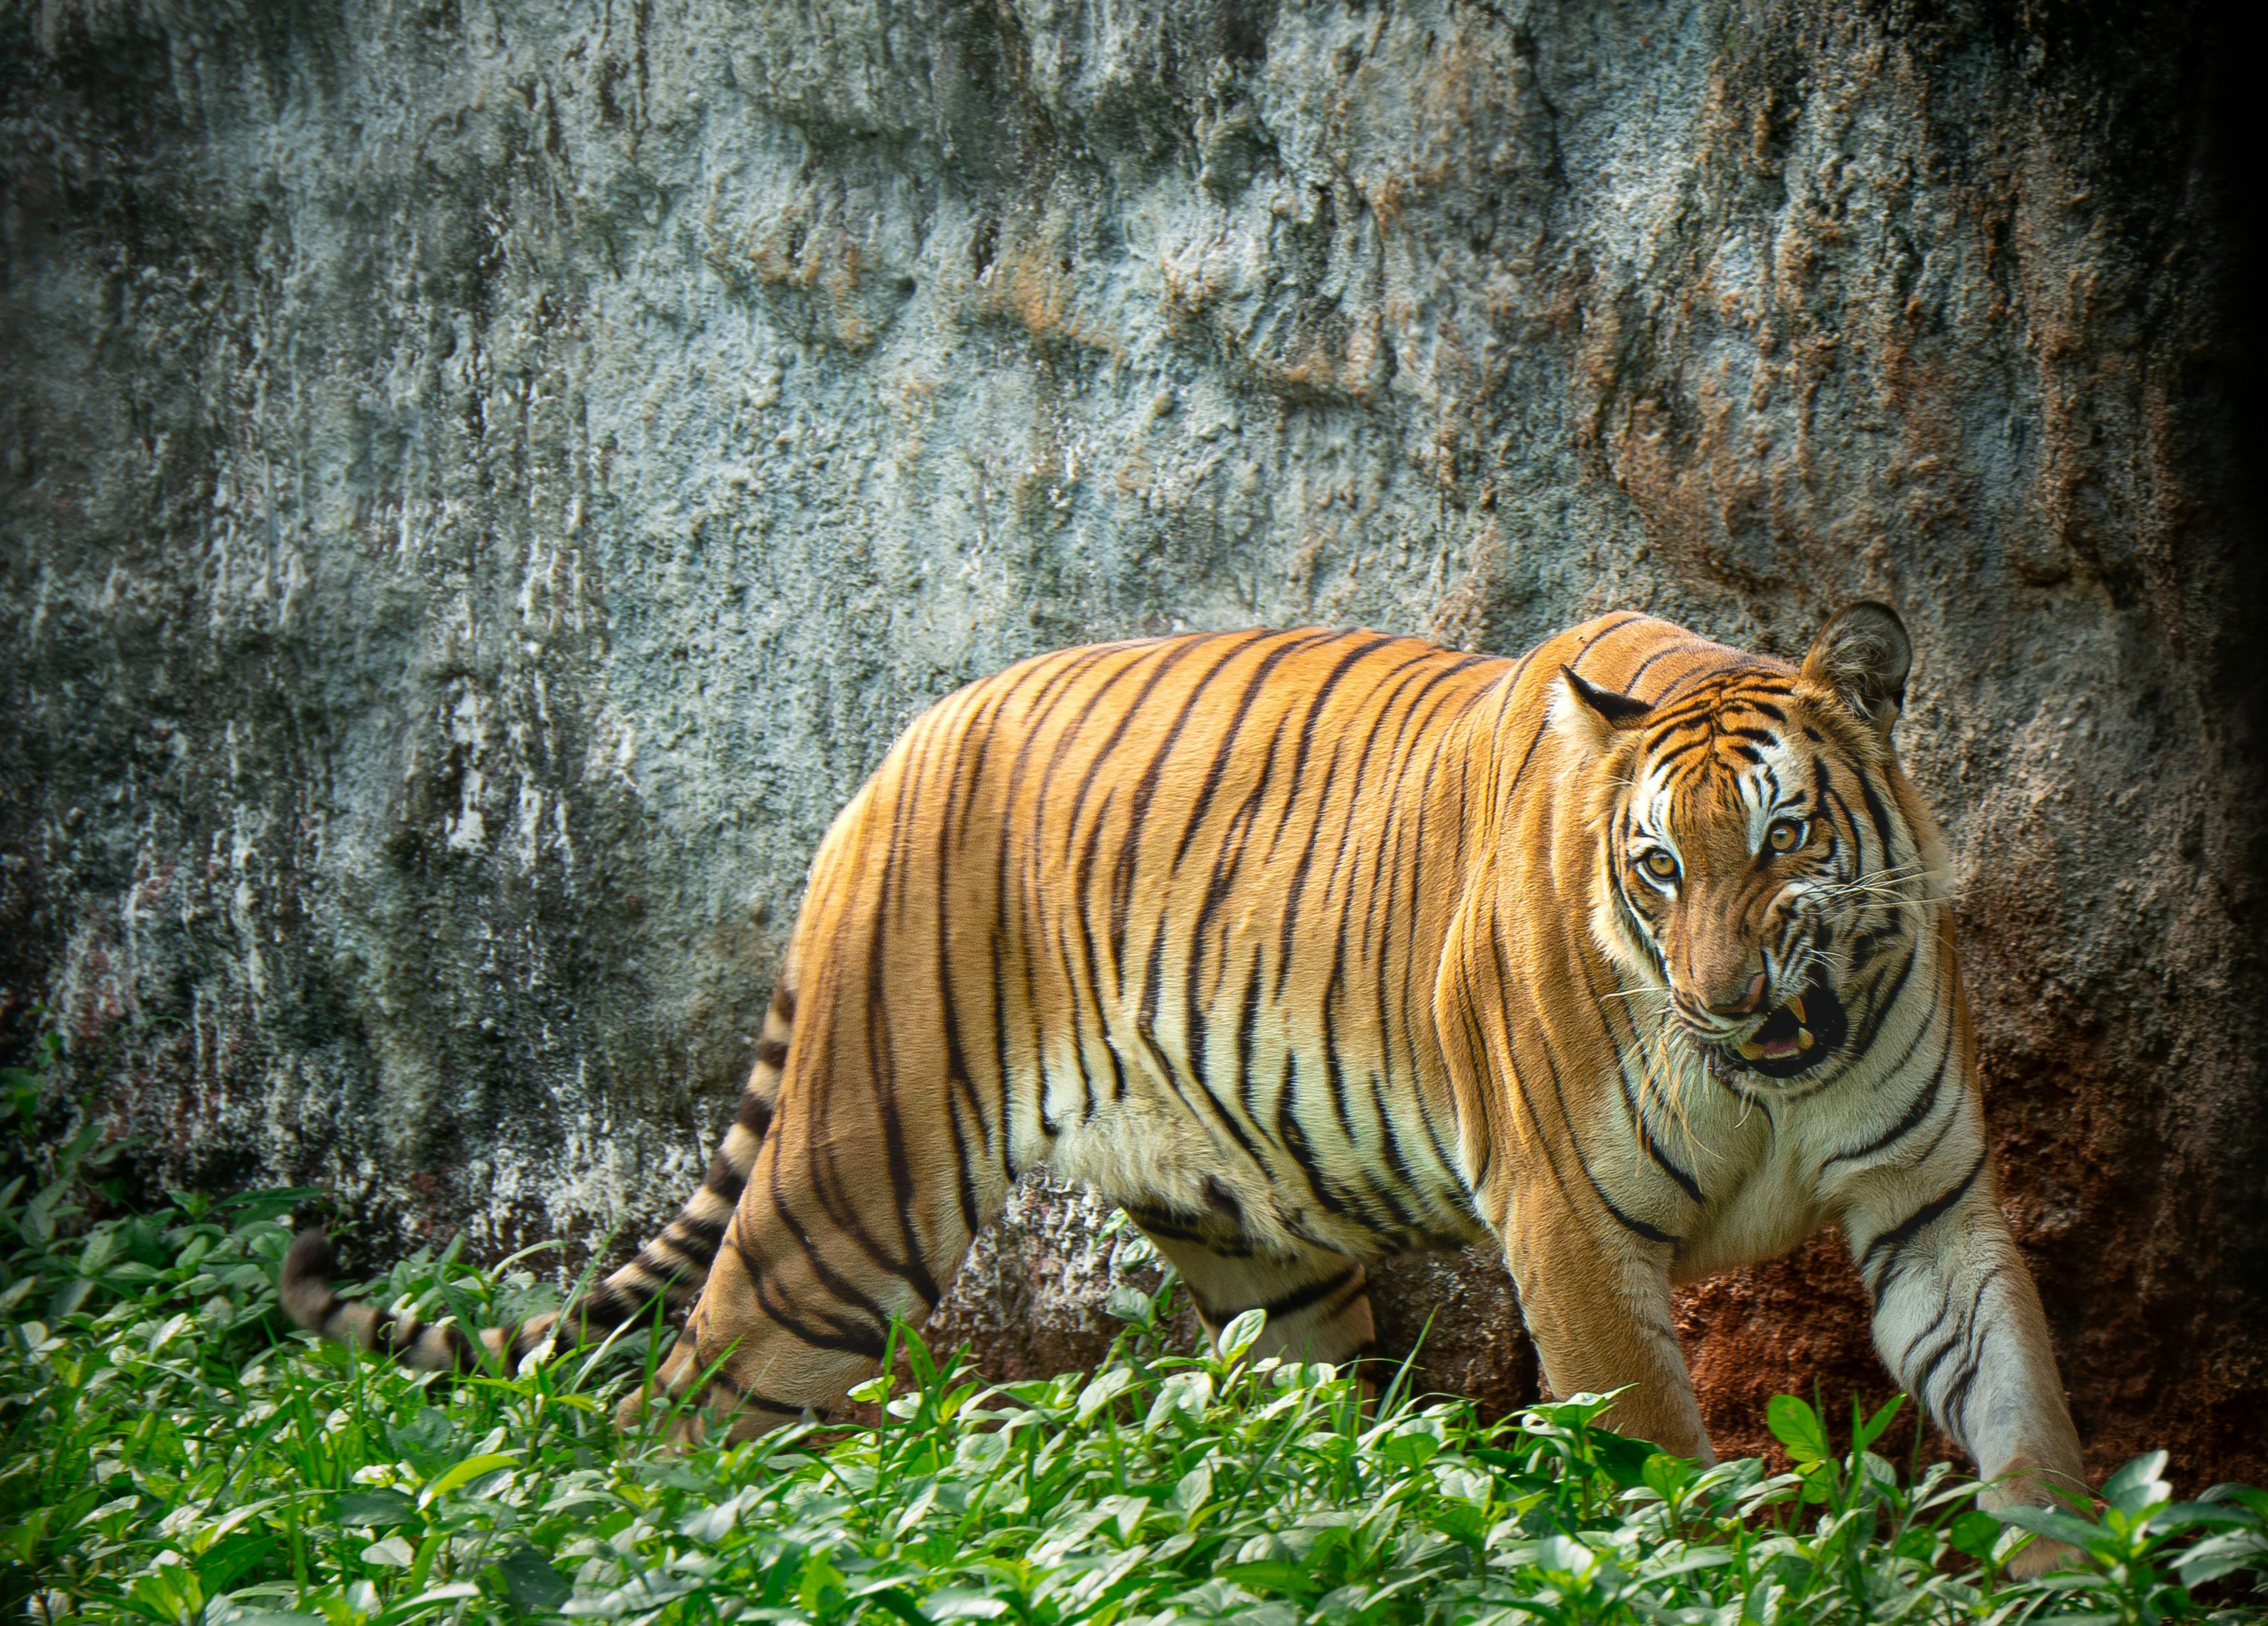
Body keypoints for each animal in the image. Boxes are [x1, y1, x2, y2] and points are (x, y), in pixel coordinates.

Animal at [285, 602, 2088, 1568]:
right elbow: (1650, 1451)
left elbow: (2025, 1413)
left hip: (1259, 1257)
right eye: (1654, 868)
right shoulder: (1571, 1232)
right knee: (681, 1401)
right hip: (849, 1198)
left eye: (1783, 839)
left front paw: (2072, 1573)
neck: (1783, 1069)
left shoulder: (1929, 1204)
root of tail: (901, 745)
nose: (1719, 998)